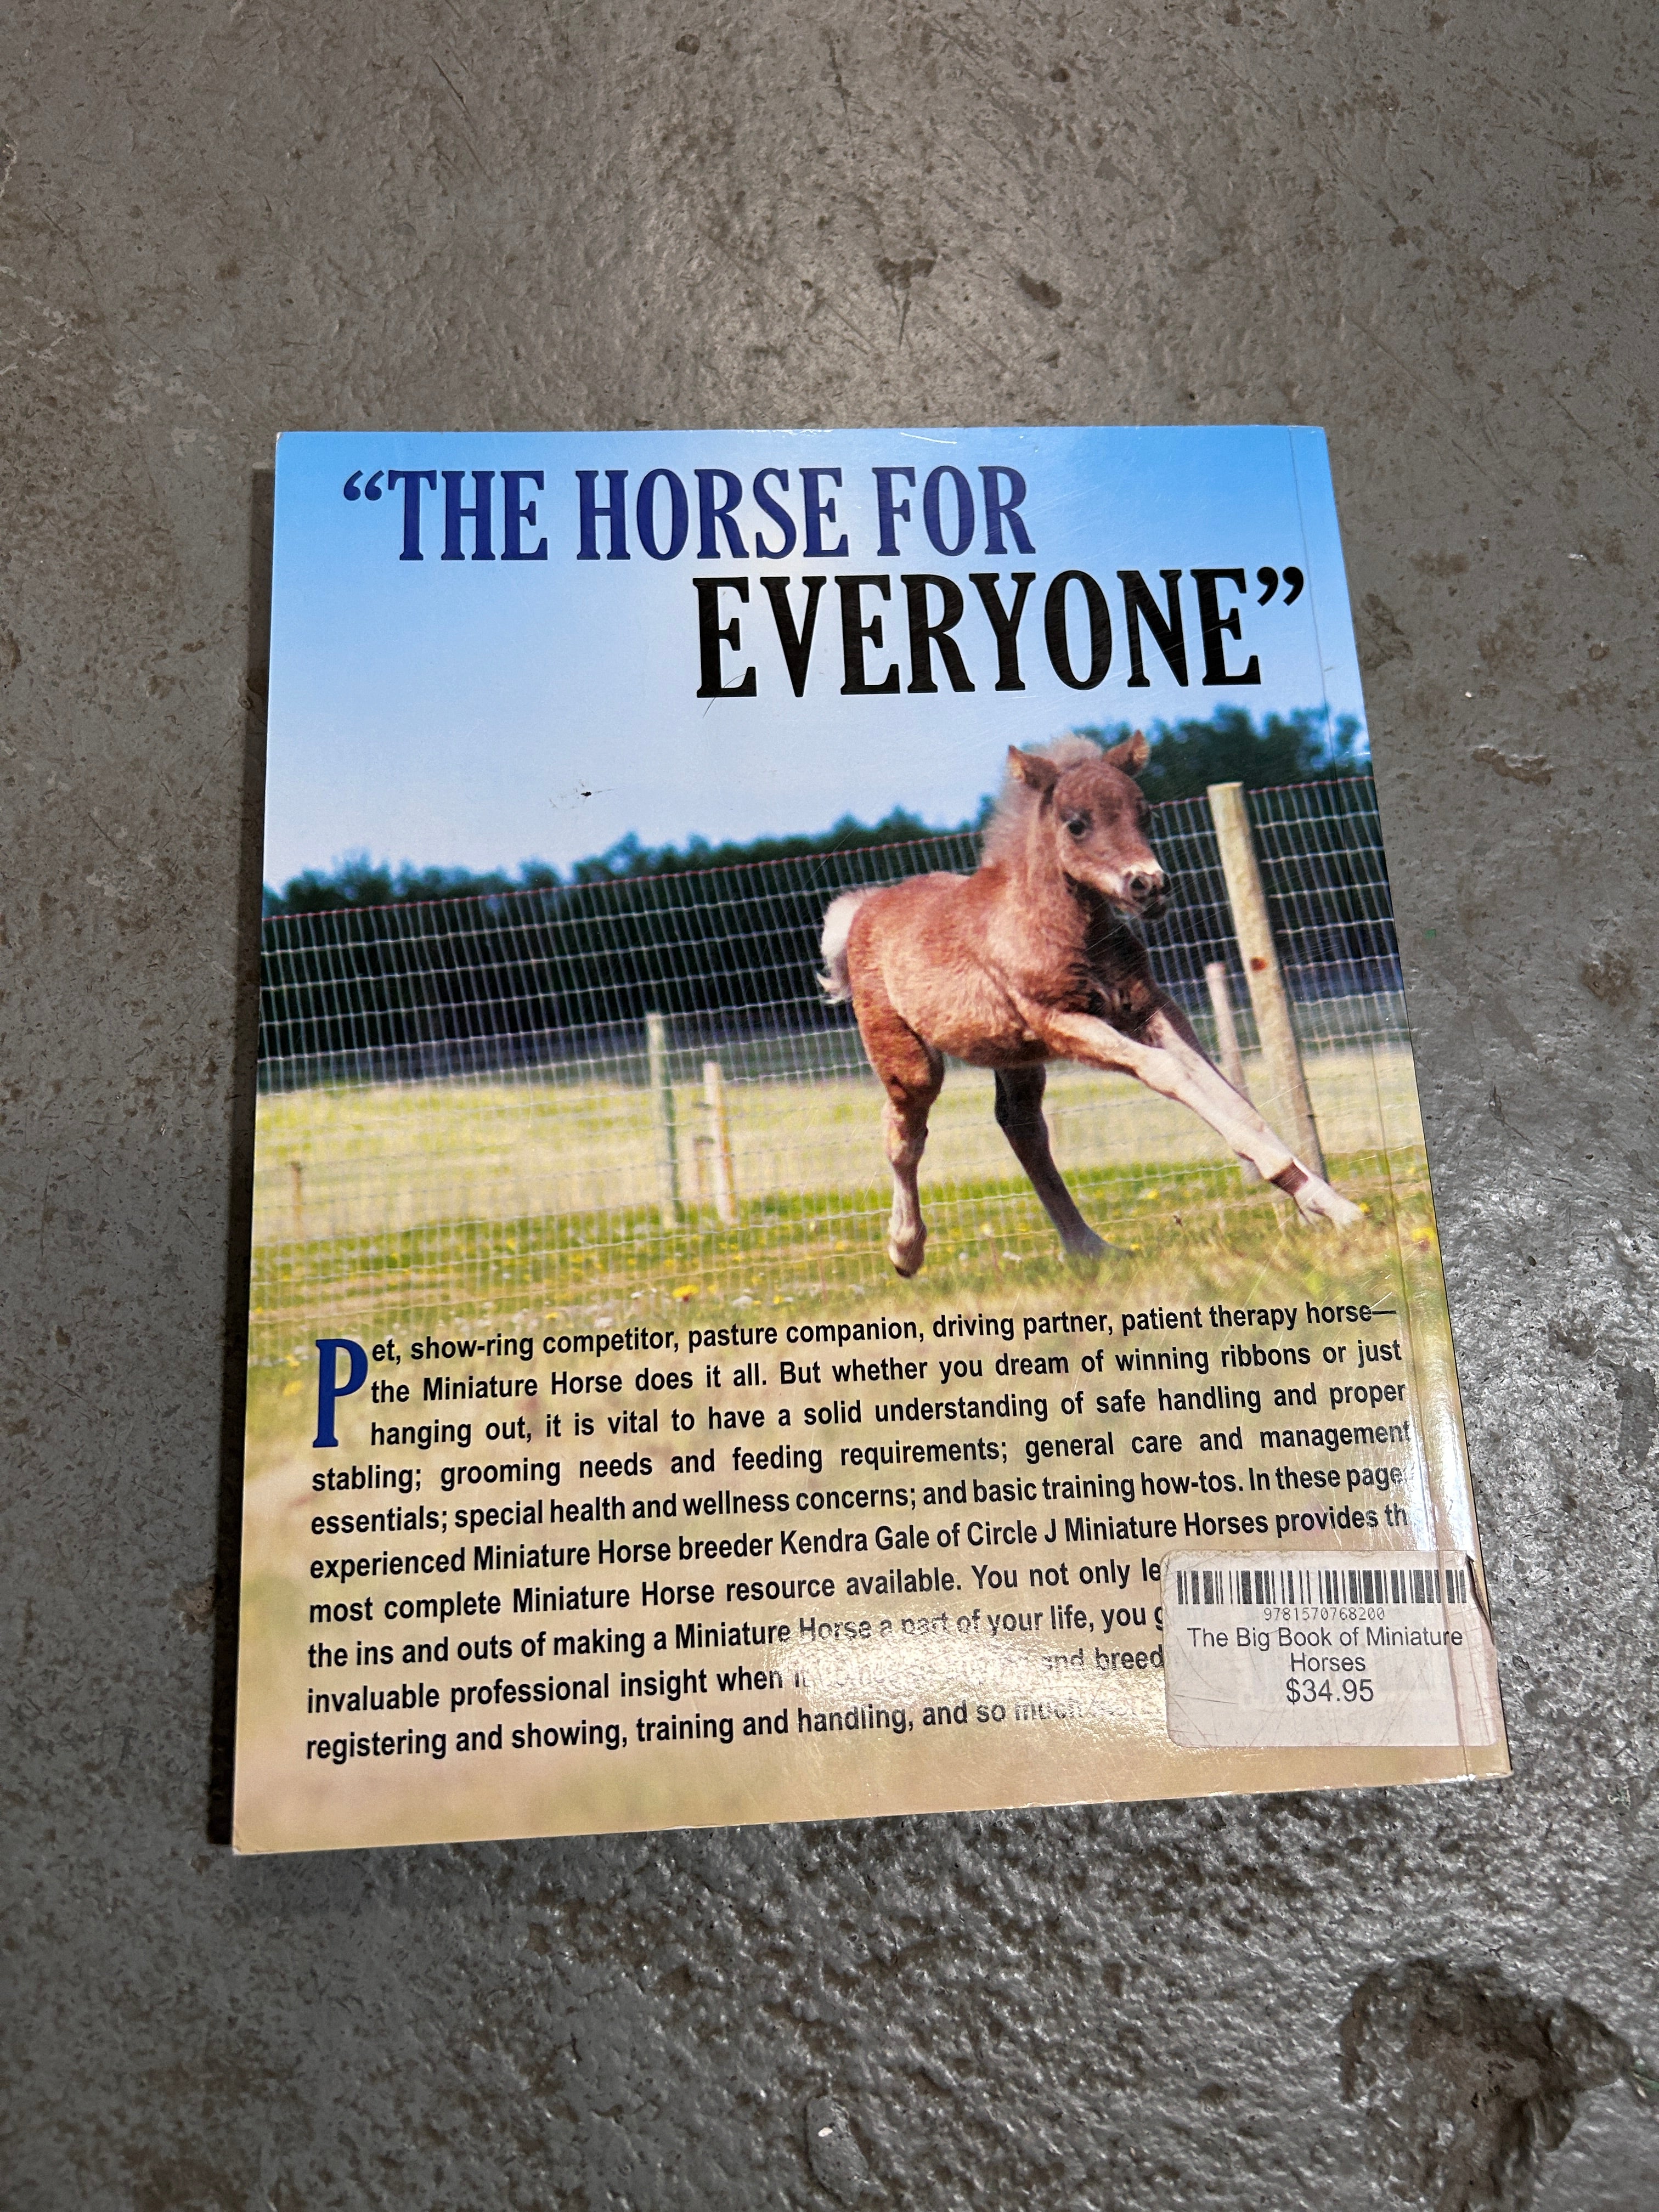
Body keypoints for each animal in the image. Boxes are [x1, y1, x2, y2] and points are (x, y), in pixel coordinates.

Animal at [819, 732, 1363, 1277]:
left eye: (1145, 814)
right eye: (1077, 824)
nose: (1149, 886)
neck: (1068, 928)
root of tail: (862, 910)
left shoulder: (1149, 1008)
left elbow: (1229, 1096)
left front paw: (1328, 1203)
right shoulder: (1064, 1022)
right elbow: (1169, 1072)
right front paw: (1297, 1185)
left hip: (1014, 1055)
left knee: (1022, 1127)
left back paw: (1089, 1247)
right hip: (911, 1061)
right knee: (903, 1134)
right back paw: (905, 1249)